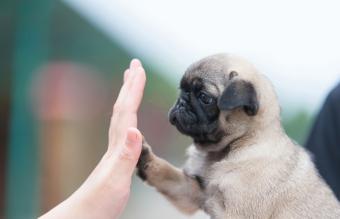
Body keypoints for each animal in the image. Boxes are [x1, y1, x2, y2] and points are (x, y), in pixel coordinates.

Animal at [135, 54, 340, 218]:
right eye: (182, 89)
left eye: (204, 97)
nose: (181, 102)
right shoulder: (194, 190)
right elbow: (169, 175)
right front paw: (144, 157)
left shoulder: (234, 211)